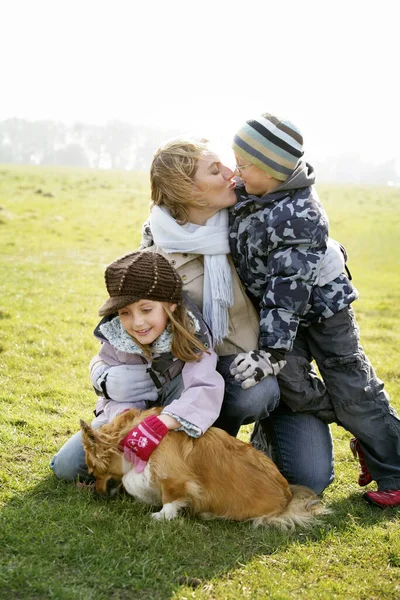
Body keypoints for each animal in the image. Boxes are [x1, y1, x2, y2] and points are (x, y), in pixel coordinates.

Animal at [81, 408, 328, 528]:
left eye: (93, 473)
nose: (96, 494)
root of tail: (287, 500)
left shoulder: (175, 479)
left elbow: (170, 498)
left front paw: (162, 515)